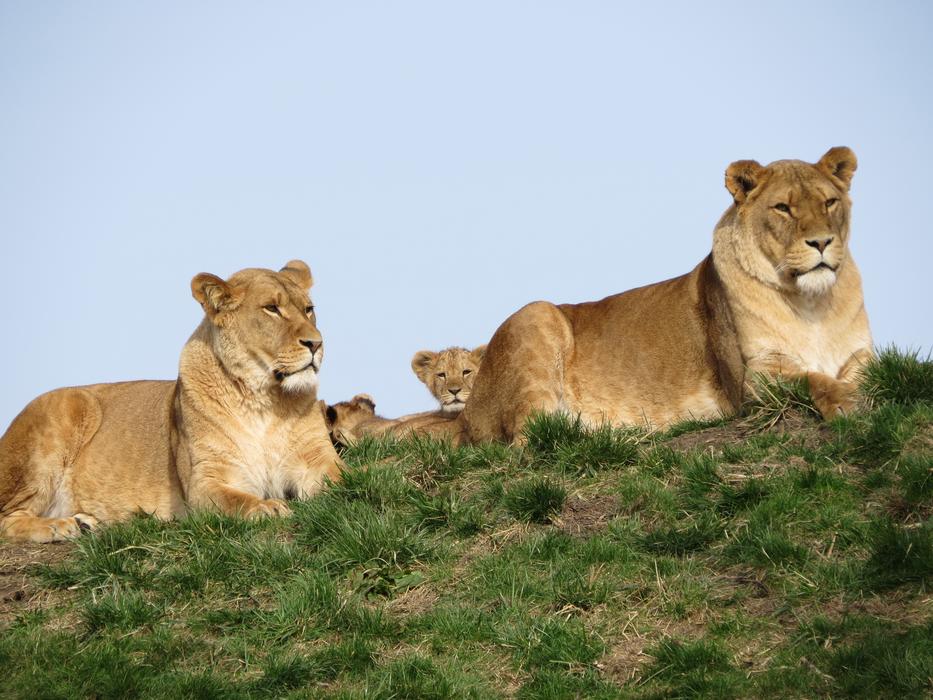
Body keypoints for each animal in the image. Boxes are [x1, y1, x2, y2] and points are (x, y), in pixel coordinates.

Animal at [0, 260, 343, 542]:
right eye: (271, 308)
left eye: (309, 309)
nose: (316, 344)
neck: (264, 400)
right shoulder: (204, 482)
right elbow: (238, 500)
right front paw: (268, 508)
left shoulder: (315, 457)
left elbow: (343, 477)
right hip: (62, 416)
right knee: (7, 518)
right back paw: (59, 527)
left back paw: (83, 522)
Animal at [459, 147, 873, 443]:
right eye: (783, 208)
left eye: (829, 202)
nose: (821, 242)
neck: (810, 302)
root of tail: (466, 414)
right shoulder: (753, 379)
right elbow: (810, 378)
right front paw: (846, 401)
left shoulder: (861, 355)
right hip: (536, 315)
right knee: (528, 443)